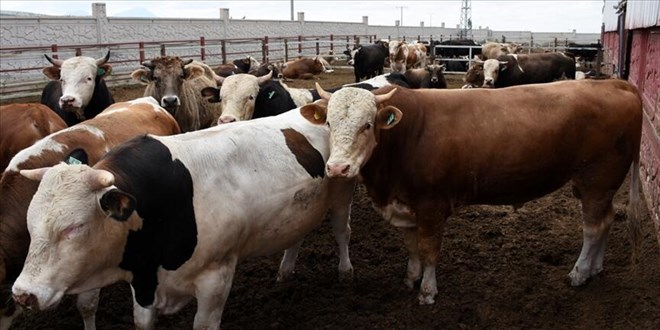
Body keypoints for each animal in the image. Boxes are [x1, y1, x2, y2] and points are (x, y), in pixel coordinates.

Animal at [304, 78, 644, 306]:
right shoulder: (406, 203)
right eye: (329, 123)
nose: (338, 168)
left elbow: (428, 249)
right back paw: (596, 268)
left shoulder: (432, 205)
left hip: (596, 179)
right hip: (601, 185)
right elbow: (412, 246)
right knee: (607, 220)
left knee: (593, 227)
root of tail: (615, 83)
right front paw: (411, 278)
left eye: (367, 124)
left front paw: (427, 291)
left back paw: (579, 273)